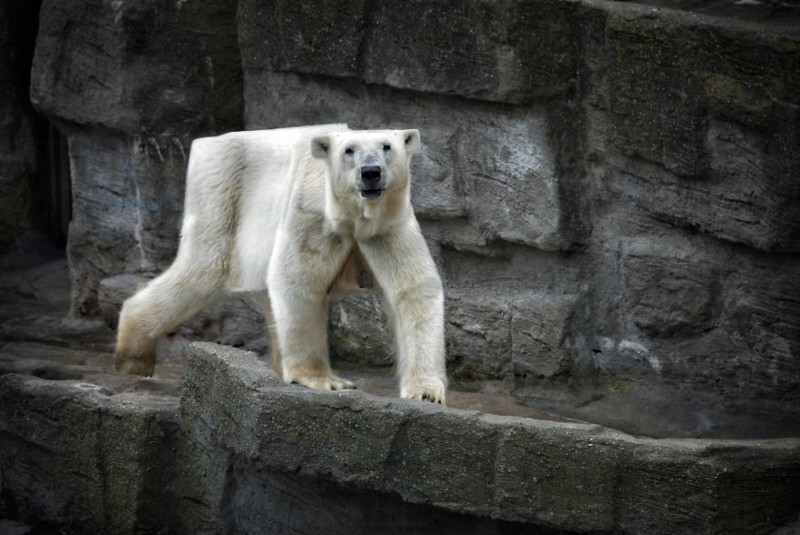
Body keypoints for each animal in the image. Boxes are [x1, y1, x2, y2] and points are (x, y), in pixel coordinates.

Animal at [115, 123, 446, 404]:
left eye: (387, 146)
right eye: (348, 150)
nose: (371, 172)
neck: (353, 216)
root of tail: (205, 143)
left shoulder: (389, 226)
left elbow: (414, 290)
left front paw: (426, 392)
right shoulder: (311, 214)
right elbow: (297, 280)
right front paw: (325, 380)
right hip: (222, 189)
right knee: (203, 269)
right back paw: (134, 358)